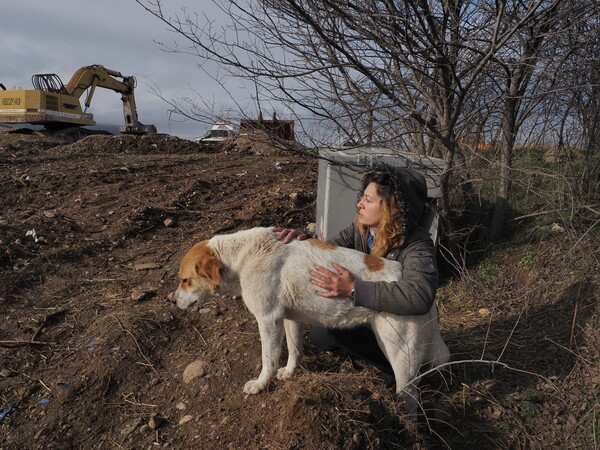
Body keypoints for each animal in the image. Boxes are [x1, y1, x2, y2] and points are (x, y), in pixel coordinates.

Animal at [171, 229, 448, 408]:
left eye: (185, 280)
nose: (171, 301)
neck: (242, 258)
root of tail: (426, 294)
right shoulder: (290, 320)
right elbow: (295, 352)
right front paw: (289, 373)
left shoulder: (268, 321)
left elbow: (268, 360)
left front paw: (260, 384)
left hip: (400, 352)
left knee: (411, 395)